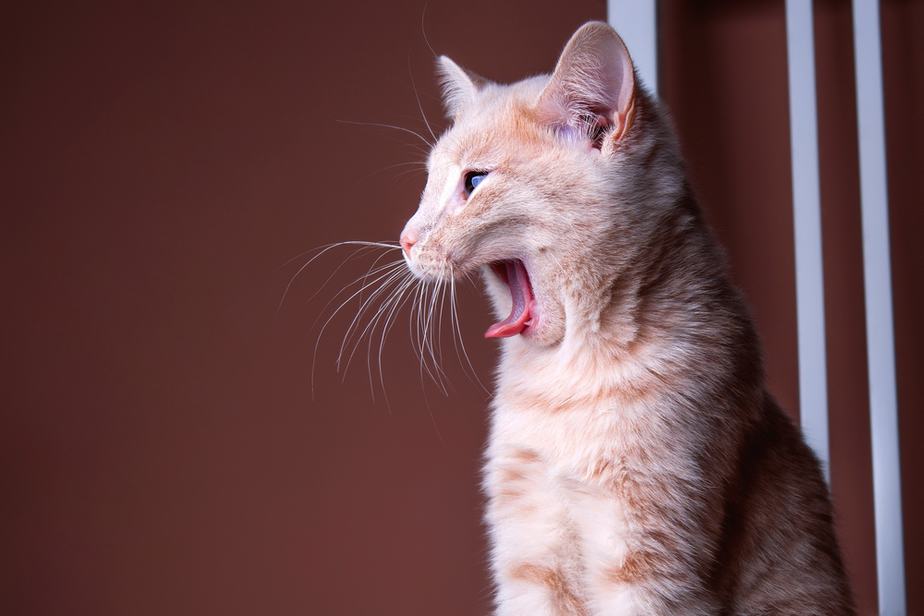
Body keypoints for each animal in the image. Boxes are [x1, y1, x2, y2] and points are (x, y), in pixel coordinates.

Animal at [398, 20, 852, 616]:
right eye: (428, 183)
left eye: (474, 182)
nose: (405, 238)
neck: (563, 383)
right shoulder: (528, 551)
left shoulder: (648, 555)